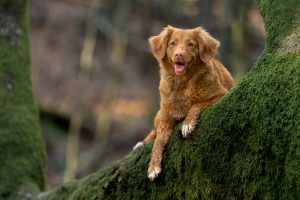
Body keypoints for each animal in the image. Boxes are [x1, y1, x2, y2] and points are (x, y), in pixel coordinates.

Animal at [133, 25, 234, 180]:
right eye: (173, 43)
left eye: (190, 44)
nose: (179, 54)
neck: (182, 83)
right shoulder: (166, 118)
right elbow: (158, 142)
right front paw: (153, 167)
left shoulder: (220, 94)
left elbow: (197, 104)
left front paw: (188, 124)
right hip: (159, 114)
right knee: (153, 132)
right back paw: (141, 143)